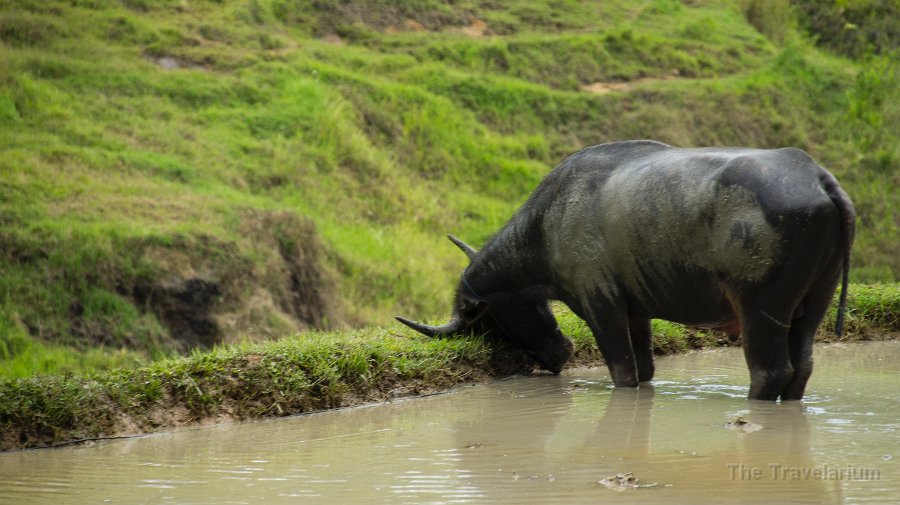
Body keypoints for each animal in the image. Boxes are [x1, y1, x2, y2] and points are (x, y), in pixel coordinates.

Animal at [398, 140, 856, 400]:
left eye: (484, 322)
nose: (557, 354)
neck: (548, 223)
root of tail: (817, 179)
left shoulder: (602, 307)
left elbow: (623, 372)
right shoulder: (637, 312)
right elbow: (645, 368)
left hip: (760, 310)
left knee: (770, 371)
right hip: (815, 302)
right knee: (802, 366)